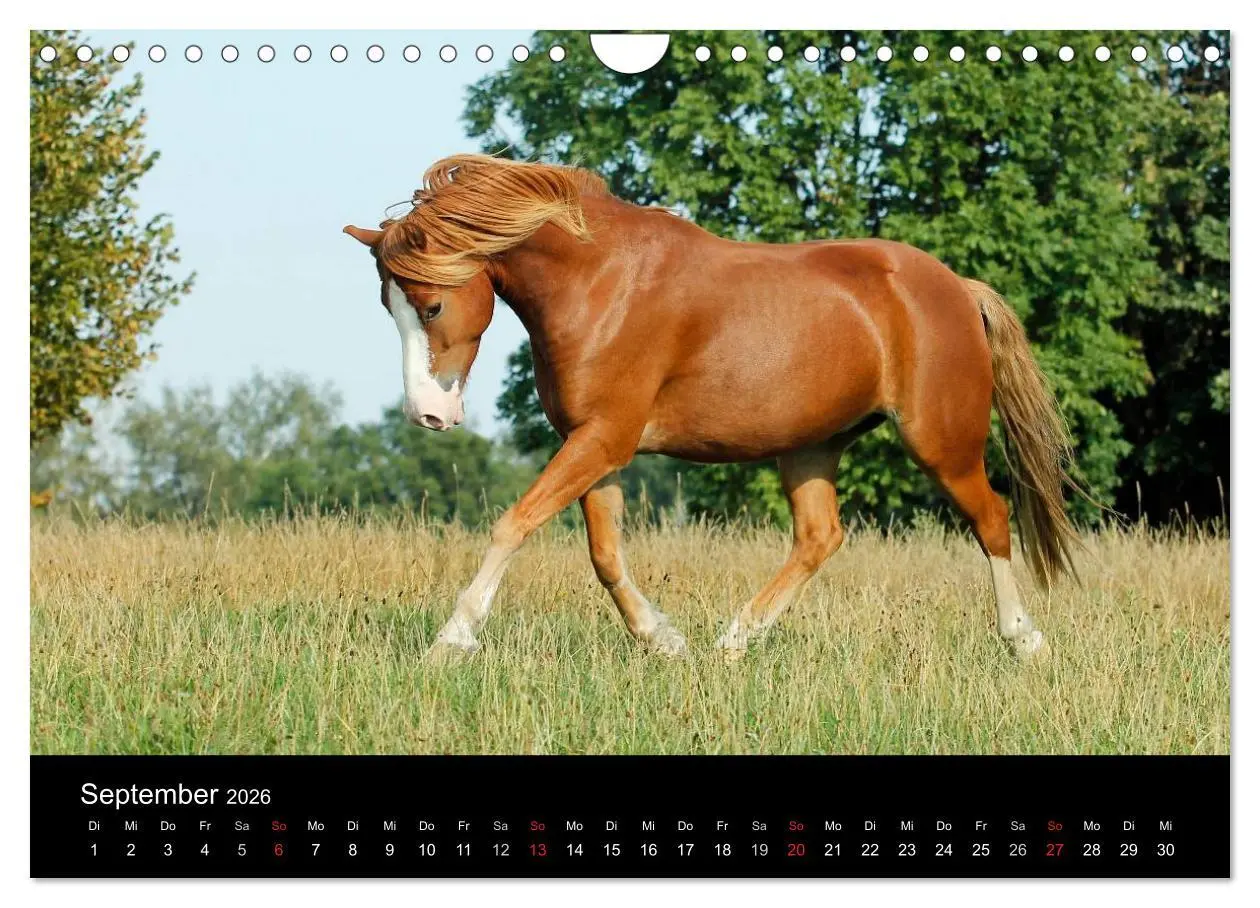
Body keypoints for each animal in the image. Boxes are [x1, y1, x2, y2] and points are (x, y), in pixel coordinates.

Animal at [343, 154, 1079, 661]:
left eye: (431, 305)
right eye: (386, 305)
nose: (428, 415)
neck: (600, 283)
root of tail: (956, 286)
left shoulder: (603, 439)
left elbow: (513, 525)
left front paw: (452, 639)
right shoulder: (597, 446)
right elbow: (605, 555)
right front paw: (663, 640)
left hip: (941, 443)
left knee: (992, 519)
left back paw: (1024, 641)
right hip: (810, 445)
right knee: (819, 537)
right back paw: (732, 643)